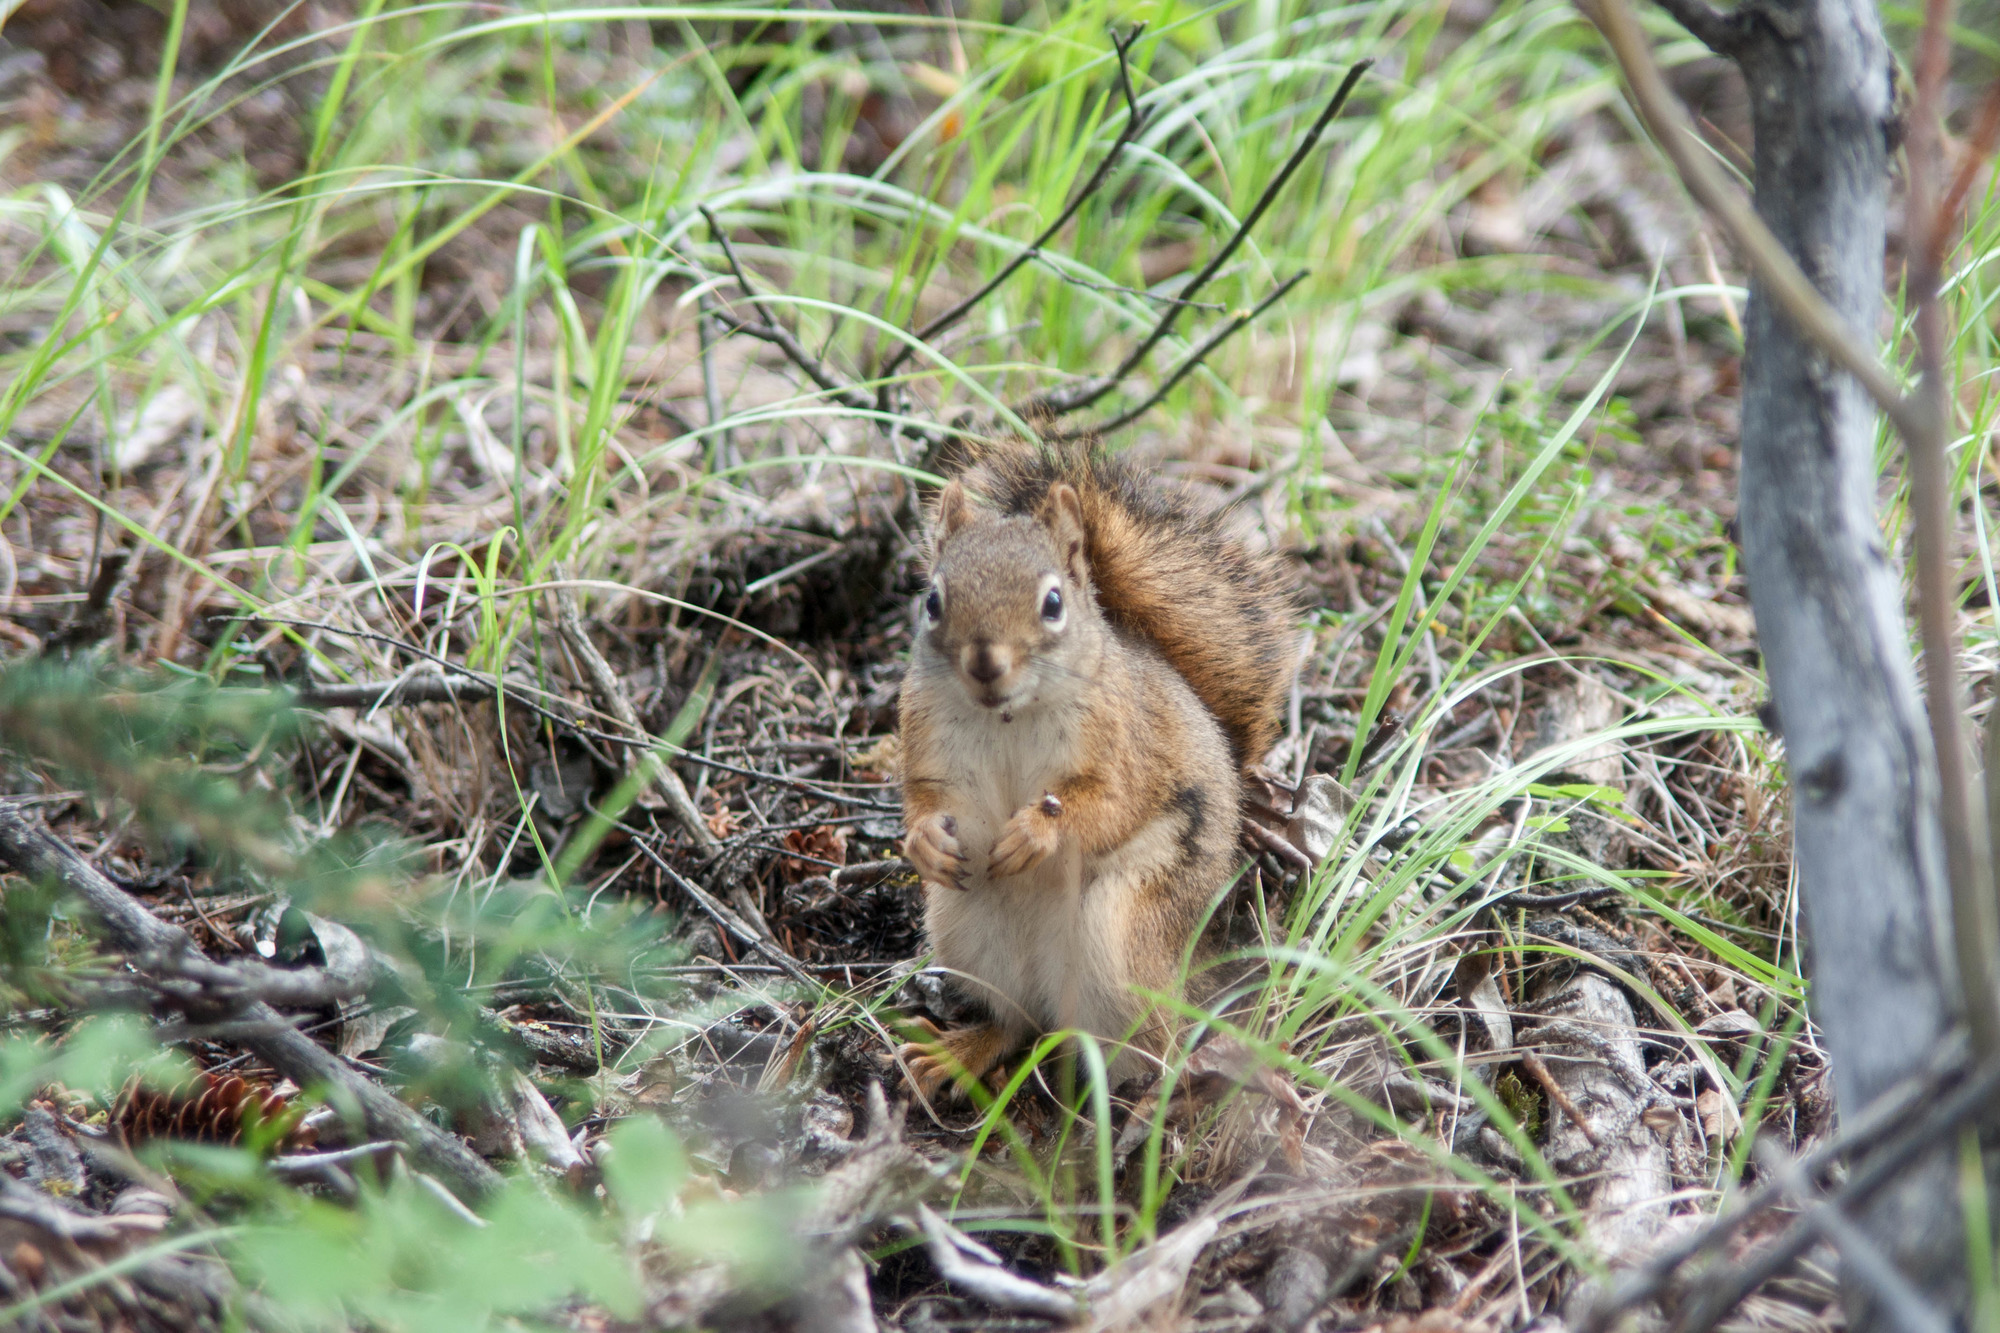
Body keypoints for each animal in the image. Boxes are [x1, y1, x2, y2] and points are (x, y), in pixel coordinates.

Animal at [895, 438, 1296, 1100]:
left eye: (1053, 603)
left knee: (1154, 1045)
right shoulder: (924, 740)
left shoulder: (1123, 745)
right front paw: (926, 842)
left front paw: (1036, 833)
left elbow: (1109, 805)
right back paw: (961, 1053)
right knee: (1018, 1021)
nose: (985, 664)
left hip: (1123, 933)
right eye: (931, 600)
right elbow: (921, 799)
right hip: (966, 928)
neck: (1008, 716)